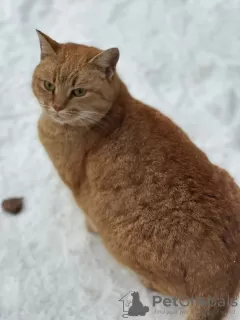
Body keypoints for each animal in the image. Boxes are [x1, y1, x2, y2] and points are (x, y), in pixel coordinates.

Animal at [32, 30, 240, 320]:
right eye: (49, 85)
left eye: (78, 91)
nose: (57, 106)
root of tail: (225, 271)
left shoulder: (76, 187)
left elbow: (86, 213)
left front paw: (88, 227)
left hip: (119, 241)